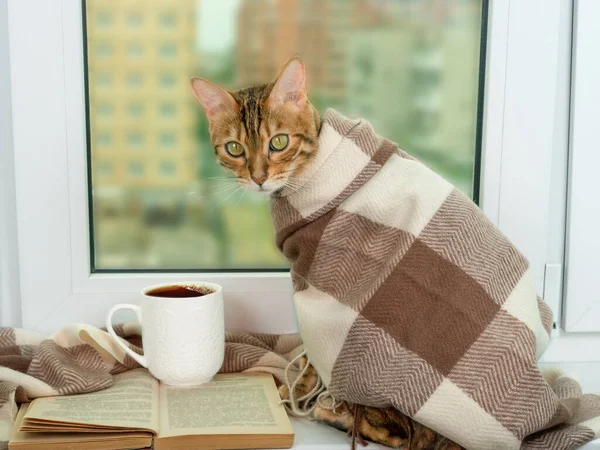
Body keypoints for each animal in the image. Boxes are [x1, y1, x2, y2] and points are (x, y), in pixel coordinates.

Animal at [190, 57, 462, 450]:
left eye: (279, 142)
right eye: (235, 149)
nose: (258, 177)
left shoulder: (314, 286)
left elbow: (310, 358)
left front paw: (296, 392)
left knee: (393, 432)